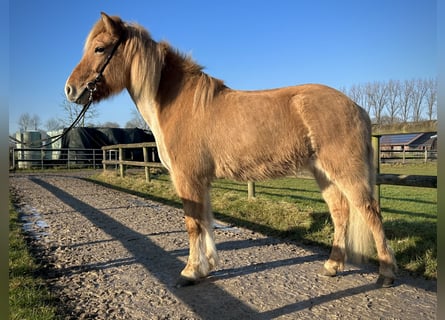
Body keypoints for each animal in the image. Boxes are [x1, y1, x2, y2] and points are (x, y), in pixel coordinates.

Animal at [65, 12, 396, 288]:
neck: (180, 105)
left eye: (99, 49)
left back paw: (386, 275)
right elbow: (206, 221)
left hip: (346, 172)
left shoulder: (187, 179)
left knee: (370, 213)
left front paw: (190, 271)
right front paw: (207, 265)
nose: (70, 89)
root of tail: (357, 108)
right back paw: (332, 266)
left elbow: (193, 223)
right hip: (323, 174)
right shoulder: (201, 181)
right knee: (341, 214)